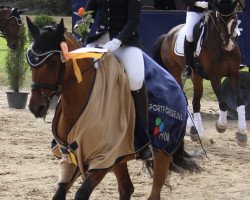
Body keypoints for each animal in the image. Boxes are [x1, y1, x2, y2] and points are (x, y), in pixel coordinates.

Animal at [26, 16, 185, 199]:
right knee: (126, 188)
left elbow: (81, 193)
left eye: (53, 62)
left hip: (162, 151)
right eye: (30, 62)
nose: (36, 107)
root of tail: (178, 89)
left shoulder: (104, 157)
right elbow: (59, 193)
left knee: (154, 191)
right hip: (121, 156)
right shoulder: (73, 156)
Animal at [153, 1, 247, 145]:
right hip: (175, 72)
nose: (228, 45)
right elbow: (223, 103)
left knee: (195, 103)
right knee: (183, 98)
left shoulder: (234, 74)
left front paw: (242, 133)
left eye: (234, 20)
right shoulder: (214, 77)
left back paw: (195, 131)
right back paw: (192, 128)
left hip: (196, 77)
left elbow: (240, 101)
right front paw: (221, 126)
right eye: (219, 20)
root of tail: (168, 35)